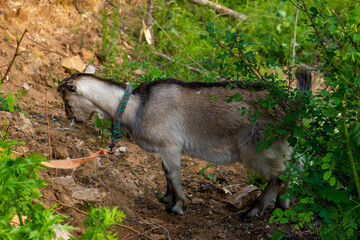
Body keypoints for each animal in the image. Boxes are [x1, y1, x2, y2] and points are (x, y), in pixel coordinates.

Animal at [57, 65, 310, 218]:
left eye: (67, 101)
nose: (72, 119)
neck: (136, 106)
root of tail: (293, 108)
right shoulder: (164, 148)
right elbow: (166, 173)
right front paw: (166, 198)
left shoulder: (170, 145)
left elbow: (173, 173)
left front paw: (177, 206)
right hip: (284, 145)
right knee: (294, 169)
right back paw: (282, 206)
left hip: (259, 148)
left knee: (280, 175)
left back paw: (252, 210)